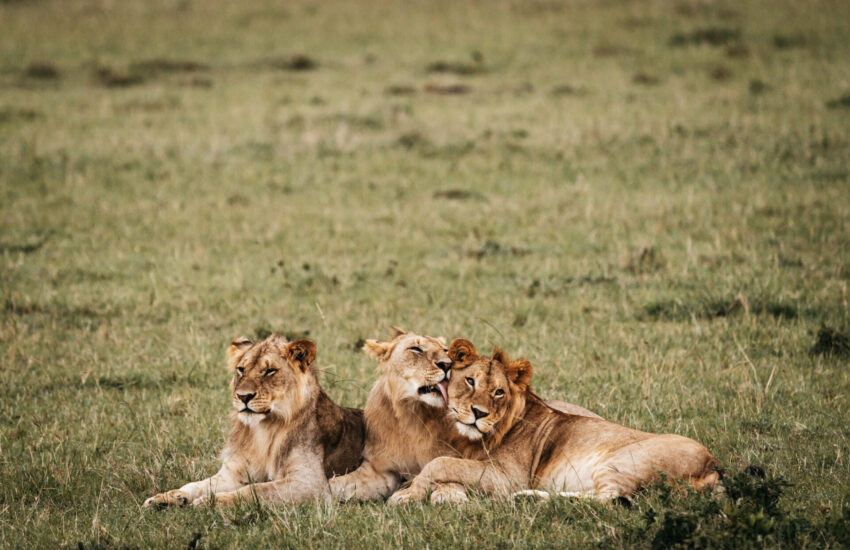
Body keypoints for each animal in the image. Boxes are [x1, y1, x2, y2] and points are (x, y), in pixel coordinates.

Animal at [143, 334, 365, 508]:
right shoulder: (233, 473)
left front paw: (211, 501)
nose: (243, 396)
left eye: (270, 371)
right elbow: (196, 485)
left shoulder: (311, 483)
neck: (263, 430)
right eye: (241, 369)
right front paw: (166, 498)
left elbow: (256, 490)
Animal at [329, 328, 602, 502]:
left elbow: (444, 470)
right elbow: (339, 483)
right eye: (416, 349)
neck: (412, 416)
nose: (446, 364)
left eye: (445, 350)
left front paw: (446, 495)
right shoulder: (379, 471)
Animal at [389, 338, 720, 505]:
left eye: (498, 392)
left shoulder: (507, 477)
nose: (479, 414)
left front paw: (406, 495)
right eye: (470, 381)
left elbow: (439, 464)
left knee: (609, 499)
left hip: (620, 461)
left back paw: (531, 499)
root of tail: (712, 466)